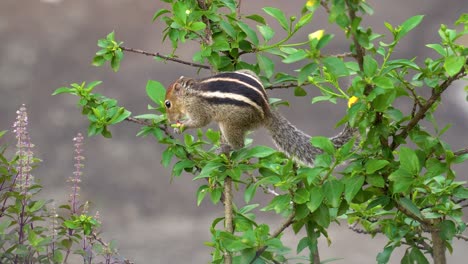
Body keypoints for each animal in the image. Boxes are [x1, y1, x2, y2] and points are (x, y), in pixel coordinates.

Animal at [165, 69, 354, 166]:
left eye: (167, 104)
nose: (169, 121)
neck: (190, 91)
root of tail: (266, 109)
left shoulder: (197, 108)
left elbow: (200, 122)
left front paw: (181, 126)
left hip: (231, 123)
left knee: (240, 146)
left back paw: (226, 148)